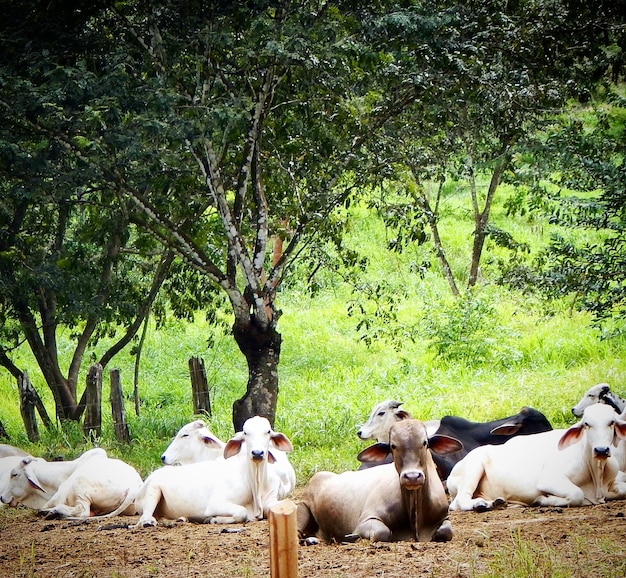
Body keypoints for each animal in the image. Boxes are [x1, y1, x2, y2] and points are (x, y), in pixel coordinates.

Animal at [0, 446, 142, 516]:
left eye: (14, 474)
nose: (2, 497)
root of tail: (134, 487)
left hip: (80, 489)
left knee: (83, 511)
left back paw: (53, 512)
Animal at [294, 416, 460, 544]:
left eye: (425, 442)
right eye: (393, 446)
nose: (412, 477)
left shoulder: (444, 517)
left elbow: (446, 531)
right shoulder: (366, 521)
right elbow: (382, 533)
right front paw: (353, 537)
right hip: (303, 506)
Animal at [446, 400, 624, 508]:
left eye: (612, 422)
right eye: (586, 424)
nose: (601, 450)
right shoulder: (549, 479)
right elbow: (576, 494)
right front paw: (542, 500)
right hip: (472, 469)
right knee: (459, 502)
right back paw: (482, 505)